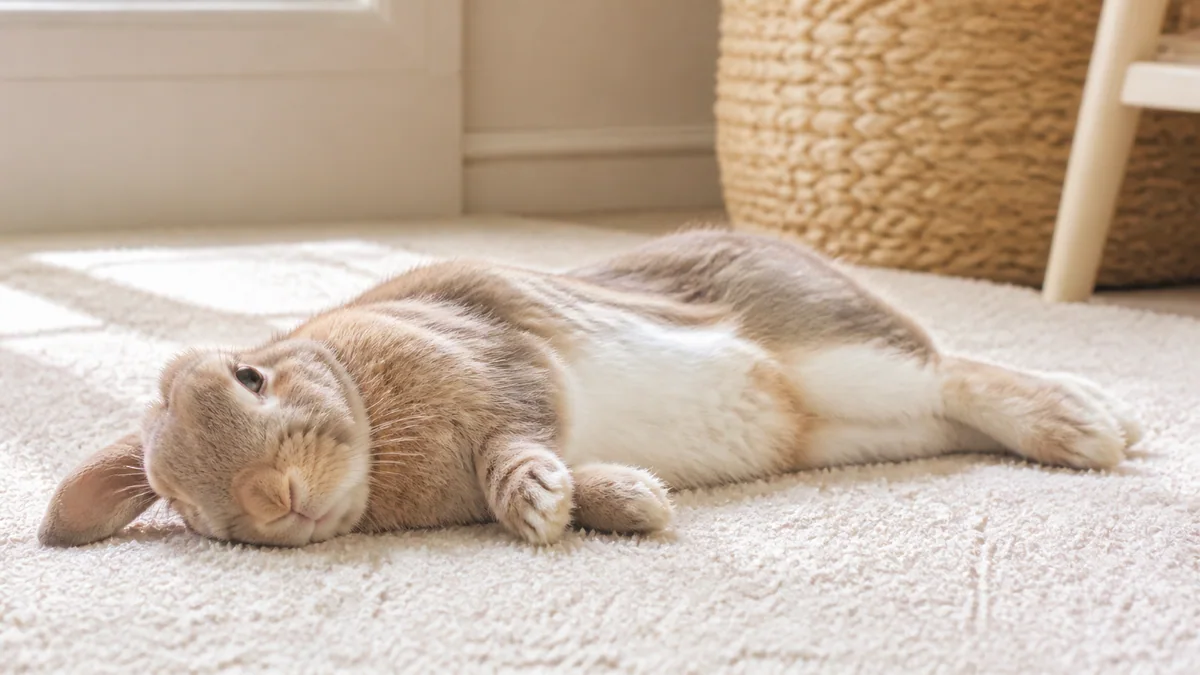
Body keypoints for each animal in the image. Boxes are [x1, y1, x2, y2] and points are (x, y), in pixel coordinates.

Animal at [38, 229, 1143, 548]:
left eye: (251, 375)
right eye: (182, 502)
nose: (273, 500)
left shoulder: (501, 365)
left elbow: (514, 442)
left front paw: (536, 500)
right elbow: (580, 475)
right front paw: (627, 505)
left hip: (838, 344)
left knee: (957, 369)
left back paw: (1095, 422)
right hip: (860, 424)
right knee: (946, 401)